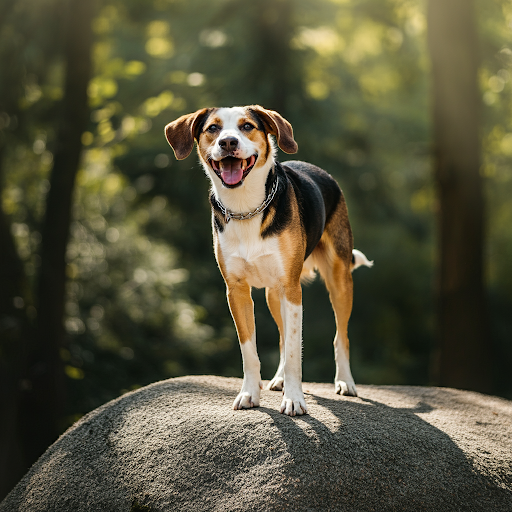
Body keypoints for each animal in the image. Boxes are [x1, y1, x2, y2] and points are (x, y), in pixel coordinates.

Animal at [164, 105, 372, 416]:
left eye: (247, 126)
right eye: (212, 128)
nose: (228, 142)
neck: (245, 208)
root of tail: (322, 171)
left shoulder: (292, 290)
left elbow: (296, 352)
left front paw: (294, 399)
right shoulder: (237, 291)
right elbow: (250, 350)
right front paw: (250, 393)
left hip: (339, 280)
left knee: (339, 336)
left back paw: (345, 382)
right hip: (273, 294)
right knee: (284, 336)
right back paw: (279, 379)